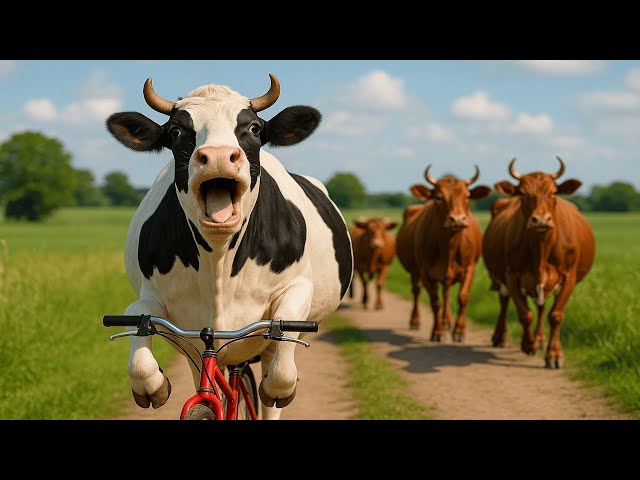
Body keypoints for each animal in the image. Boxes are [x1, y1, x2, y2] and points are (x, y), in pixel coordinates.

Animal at [105, 74, 353, 419]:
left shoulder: (298, 290)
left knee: (267, 388)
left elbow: (281, 369)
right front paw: (152, 386)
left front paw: (279, 388)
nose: (219, 155)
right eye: (176, 131)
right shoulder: (160, 302)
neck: (219, 260)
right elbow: (135, 319)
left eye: (254, 128)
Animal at [396, 165, 491, 341]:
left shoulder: (470, 268)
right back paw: (416, 320)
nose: (457, 219)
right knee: (417, 291)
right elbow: (435, 302)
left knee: (446, 292)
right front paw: (437, 331)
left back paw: (448, 320)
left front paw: (459, 331)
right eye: (438, 197)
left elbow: (462, 297)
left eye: (467, 196)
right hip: (415, 271)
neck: (449, 247)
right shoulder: (425, 272)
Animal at [483, 157, 595, 368]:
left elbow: (555, 315)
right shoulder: (512, 276)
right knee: (505, 301)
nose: (541, 220)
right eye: (522, 193)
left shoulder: (568, 277)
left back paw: (541, 338)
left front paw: (554, 354)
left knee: (541, 307)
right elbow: (525, 314)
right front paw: (528, 344)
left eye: (553, 192)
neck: (541, 250)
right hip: (499, 277)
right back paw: (501, 337)